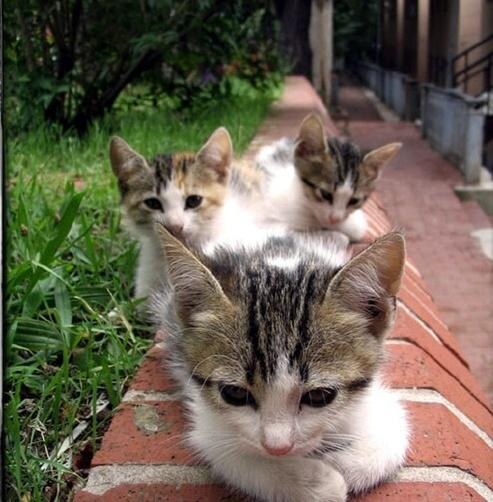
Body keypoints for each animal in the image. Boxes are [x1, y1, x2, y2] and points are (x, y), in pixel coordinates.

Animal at [151, 225, 409, 502]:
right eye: (234, 393)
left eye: (319, 396)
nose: (277, 447)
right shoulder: (207, 420)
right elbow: (232, 455)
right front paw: (317, 483)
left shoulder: (372, 398)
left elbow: (395, 432)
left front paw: (342, 464)